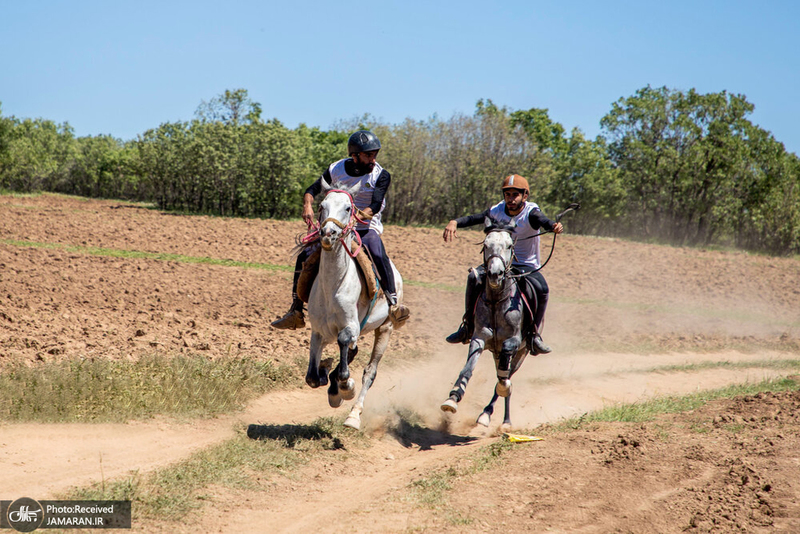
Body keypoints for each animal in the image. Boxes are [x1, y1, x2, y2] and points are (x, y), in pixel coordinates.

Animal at [306, 180, 406, 432]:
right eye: (321, 206)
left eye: (348, 208)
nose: (328, 234)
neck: (333, 285)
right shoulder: (318, 331)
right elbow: (312, 377)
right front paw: (327, 375)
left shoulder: (350, 325)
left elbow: (344, 347)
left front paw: (345, 387)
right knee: (351, 352)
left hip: (385, 329)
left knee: (369, 372)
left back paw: (353, 415)